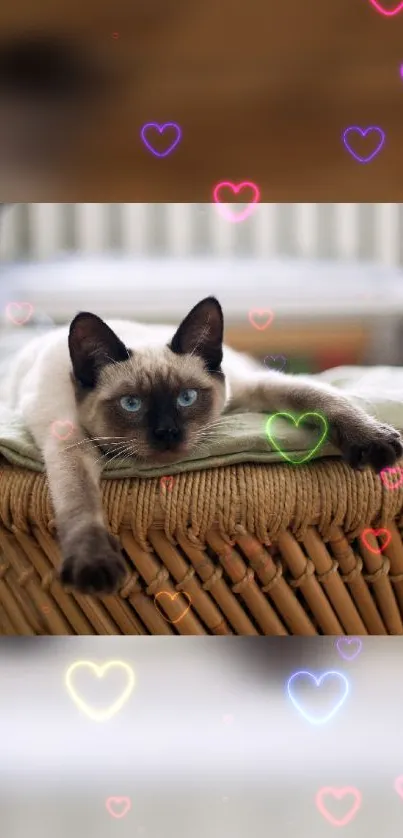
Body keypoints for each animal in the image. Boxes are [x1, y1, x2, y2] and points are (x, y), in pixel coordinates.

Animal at [3, 298, 403, 592]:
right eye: (132, 404)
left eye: (187, 398)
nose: (167, 433)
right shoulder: (69, 443)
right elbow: (80, 501)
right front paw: (94, 566)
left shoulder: (256, 387)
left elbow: (320, 399)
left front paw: (375, 441)